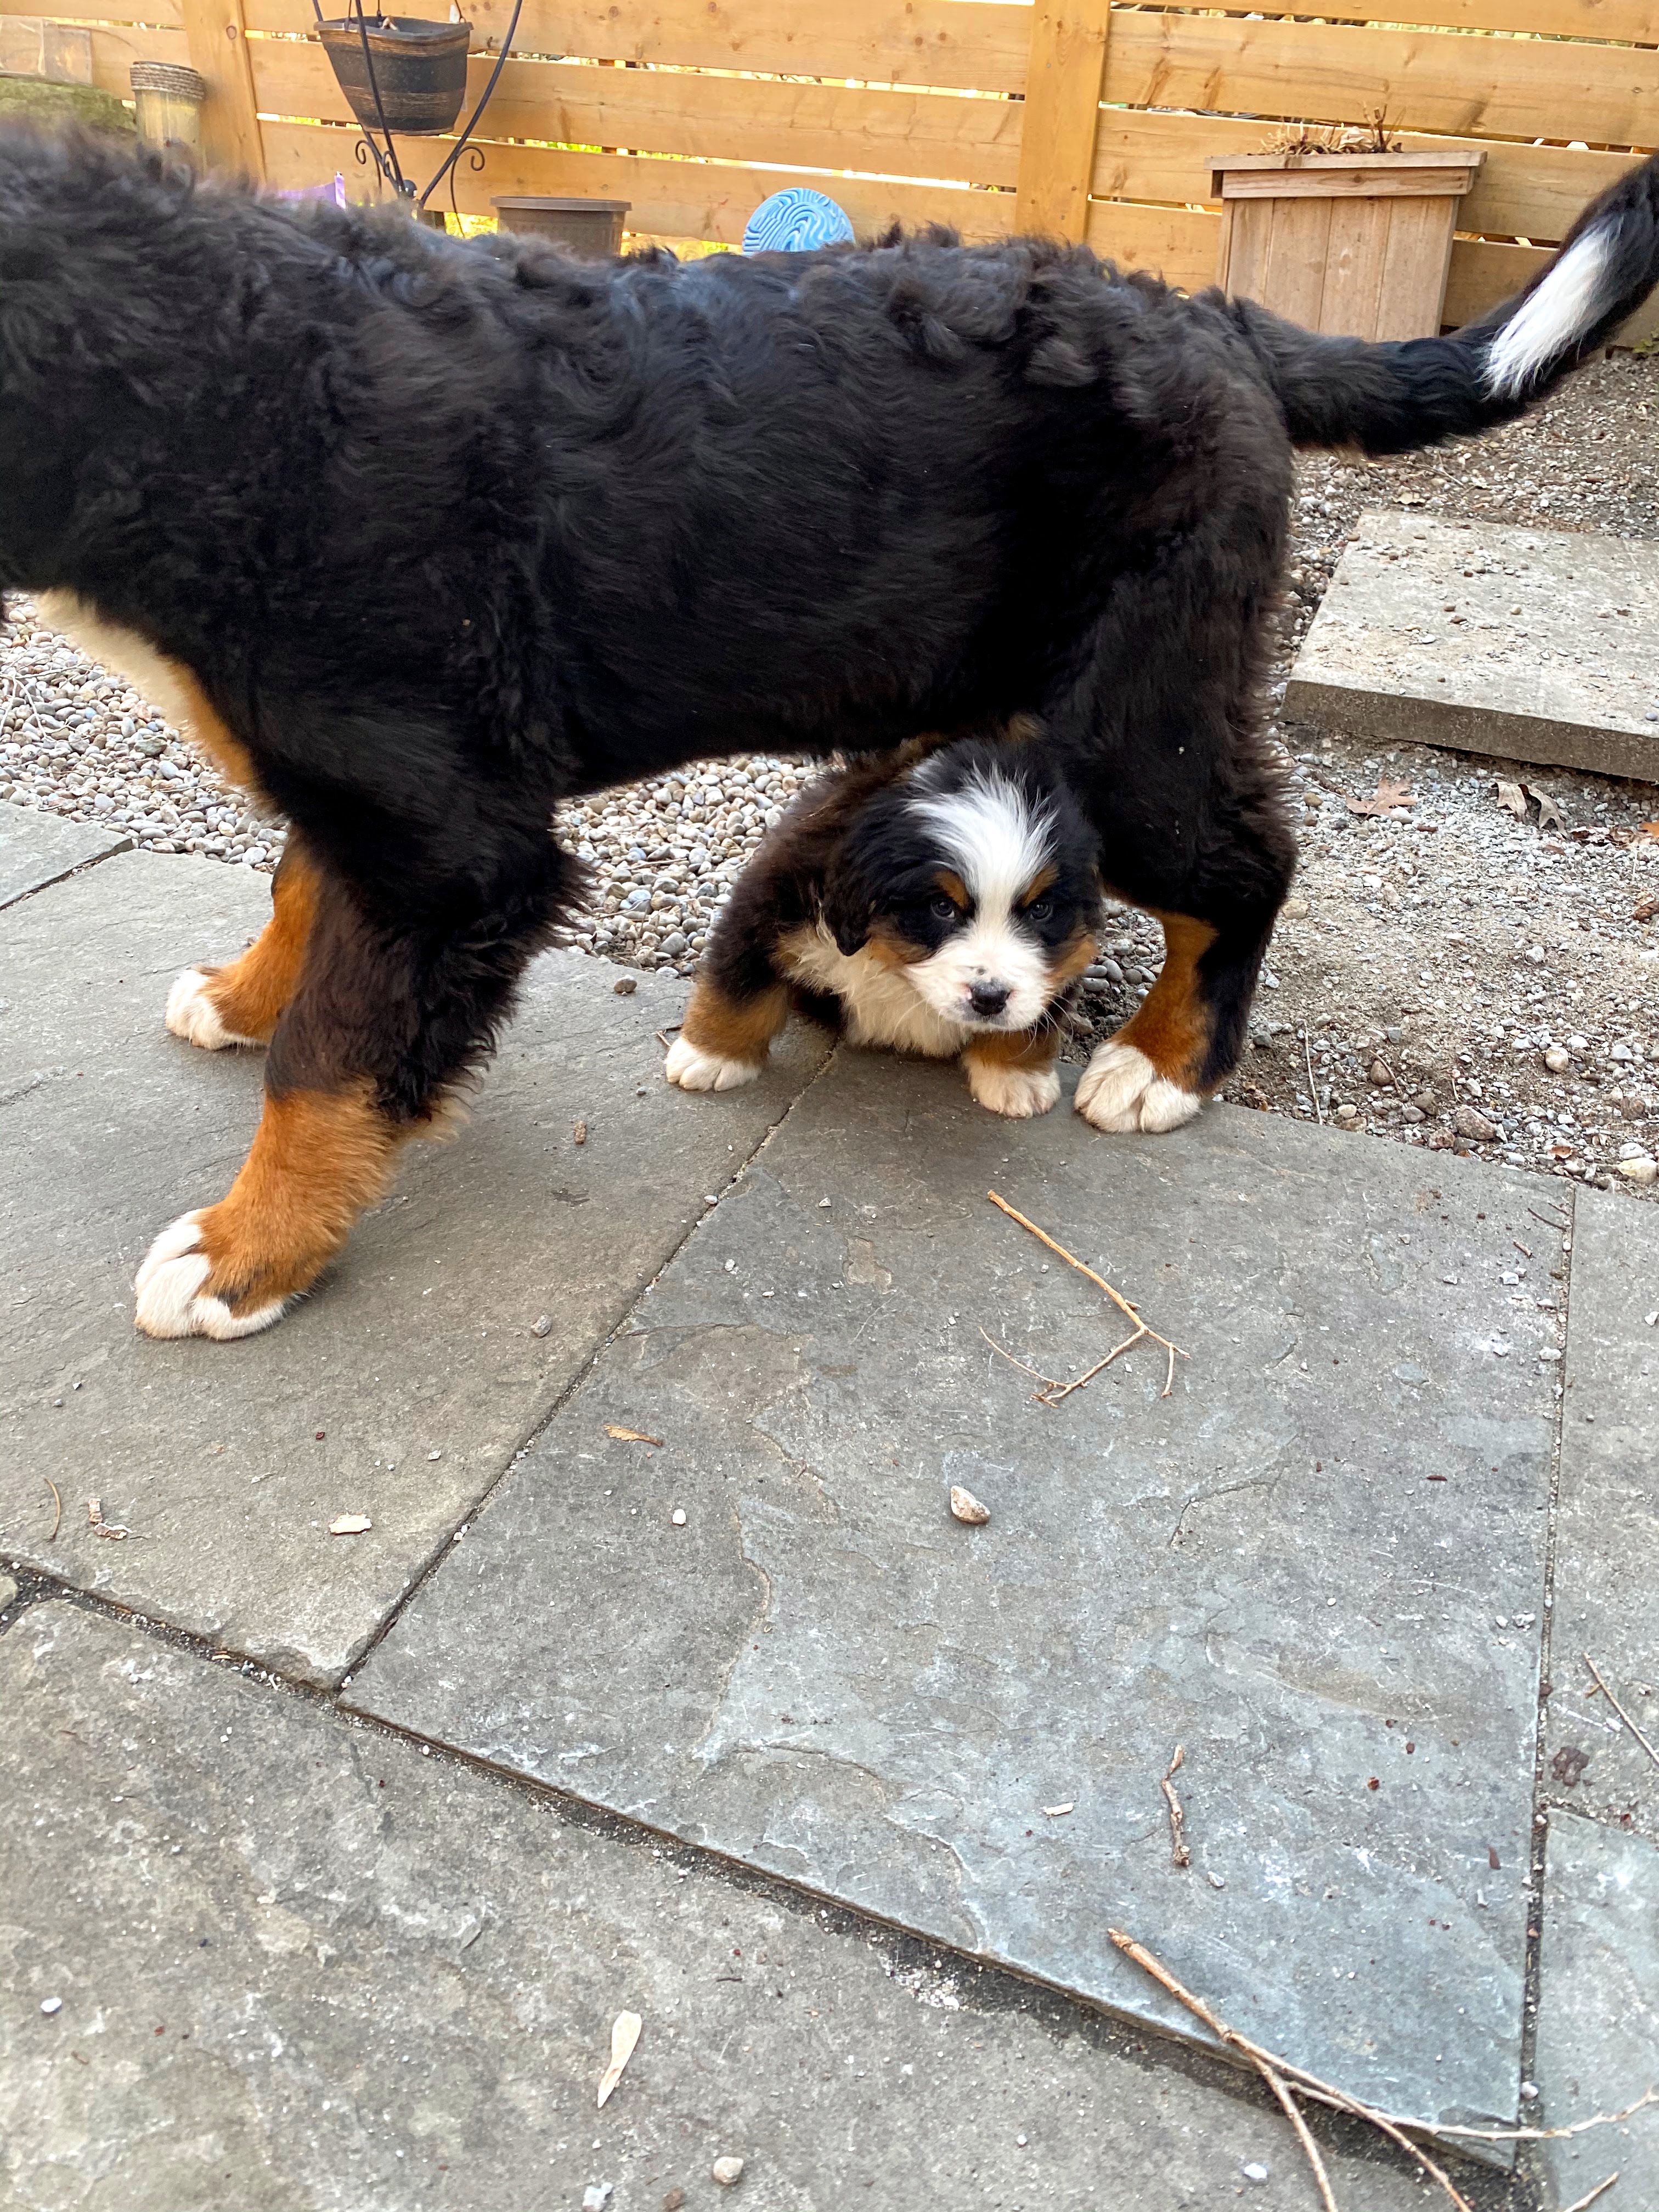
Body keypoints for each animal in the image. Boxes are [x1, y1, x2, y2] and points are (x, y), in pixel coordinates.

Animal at [668, 738, 1110, 1124]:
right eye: (942, 908)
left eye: (1040, 910)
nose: (989, 999)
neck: (893, 964)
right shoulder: (774, 899)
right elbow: (741, 983)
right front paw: (710, 1057)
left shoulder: (1070, 951)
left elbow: (1038, 1012)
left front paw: (1016, 1077)